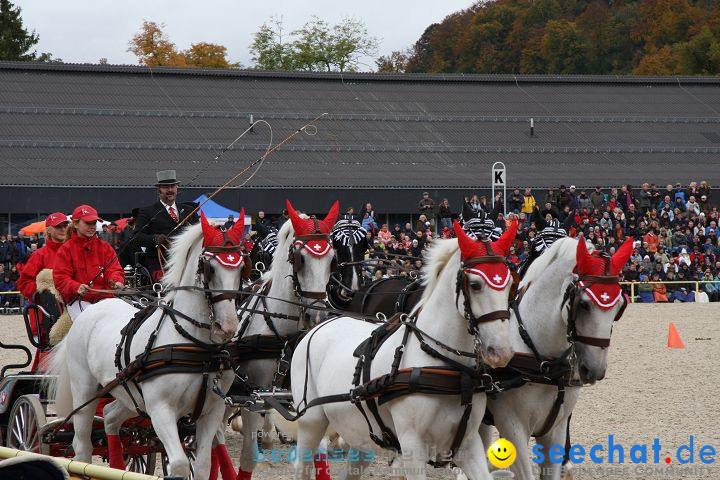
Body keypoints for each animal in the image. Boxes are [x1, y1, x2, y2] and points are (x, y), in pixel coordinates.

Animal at [47, 214, 248, 480]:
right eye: (209, 267)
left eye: (241, 266)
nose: (227, 327)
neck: (196, 347)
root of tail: (93, 309)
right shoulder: (161, 409)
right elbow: (180, 463)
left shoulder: (211, 411)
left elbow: (204, 464)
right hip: (85, 392)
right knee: (82, 447)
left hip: (128, 397)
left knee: (110, 417)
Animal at [235, 200, 338, 480]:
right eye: (300, 259)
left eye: (332, 260)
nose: (318, 314)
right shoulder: (254, 396)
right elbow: (250, 454)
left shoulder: (306, 396)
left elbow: (317, 454)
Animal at [286, 221, 516, 480]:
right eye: (475, 285)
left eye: (511, 285)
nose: (500, 351)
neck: (443, 366)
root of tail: (319, 326)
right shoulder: (412, 445)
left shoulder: (468, 443)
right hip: (311, 422)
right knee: (302, 465)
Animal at [480, 236, 632, 480]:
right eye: (583, 304)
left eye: (619, 306)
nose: (595, 369)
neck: (543, 366)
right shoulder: (513, 428)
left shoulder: (556, 430)